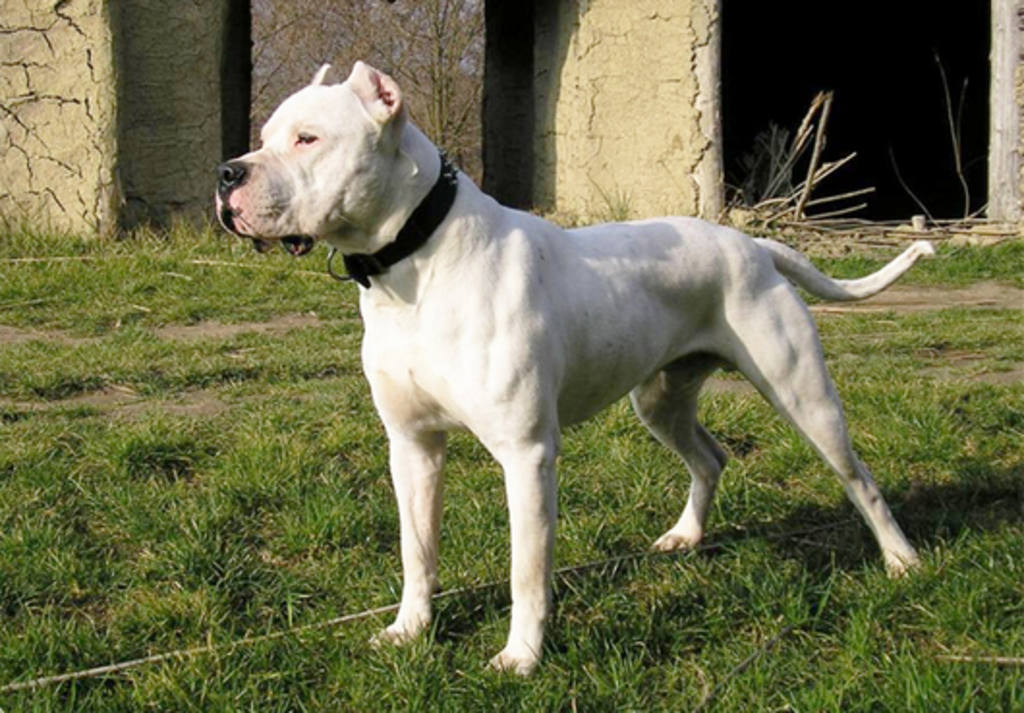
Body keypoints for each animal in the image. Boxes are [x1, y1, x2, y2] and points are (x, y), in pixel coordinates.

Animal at [216, 59, 929, 672]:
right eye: (264, 138)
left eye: (308, 139)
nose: (227, 174)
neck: (413, 264)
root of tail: (752, 244)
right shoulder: (412, 447)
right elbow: (416, 551)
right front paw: (409, 629)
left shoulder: (527, 455)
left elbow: (526, 571)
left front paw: (520, 658)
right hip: (660, 401)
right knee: (709, 457)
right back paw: (686, 535)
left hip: (802, 393)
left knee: (858, 478)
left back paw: (902, 560)